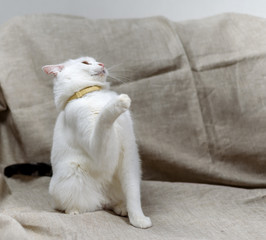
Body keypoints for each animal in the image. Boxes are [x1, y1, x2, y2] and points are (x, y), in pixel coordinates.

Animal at [42, 56, 153, 229]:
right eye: (85, 62)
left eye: (96, 61)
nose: (102, 64)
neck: (93, 94)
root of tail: (103, 199)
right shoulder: (99, 150)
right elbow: (103, 120)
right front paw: (120, 101)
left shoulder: (129, 154)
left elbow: (133, 193)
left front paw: (138, 219)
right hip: (70, 176)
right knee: (64, 205)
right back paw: (73, 211)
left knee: (115, 201)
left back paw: (122, 208)